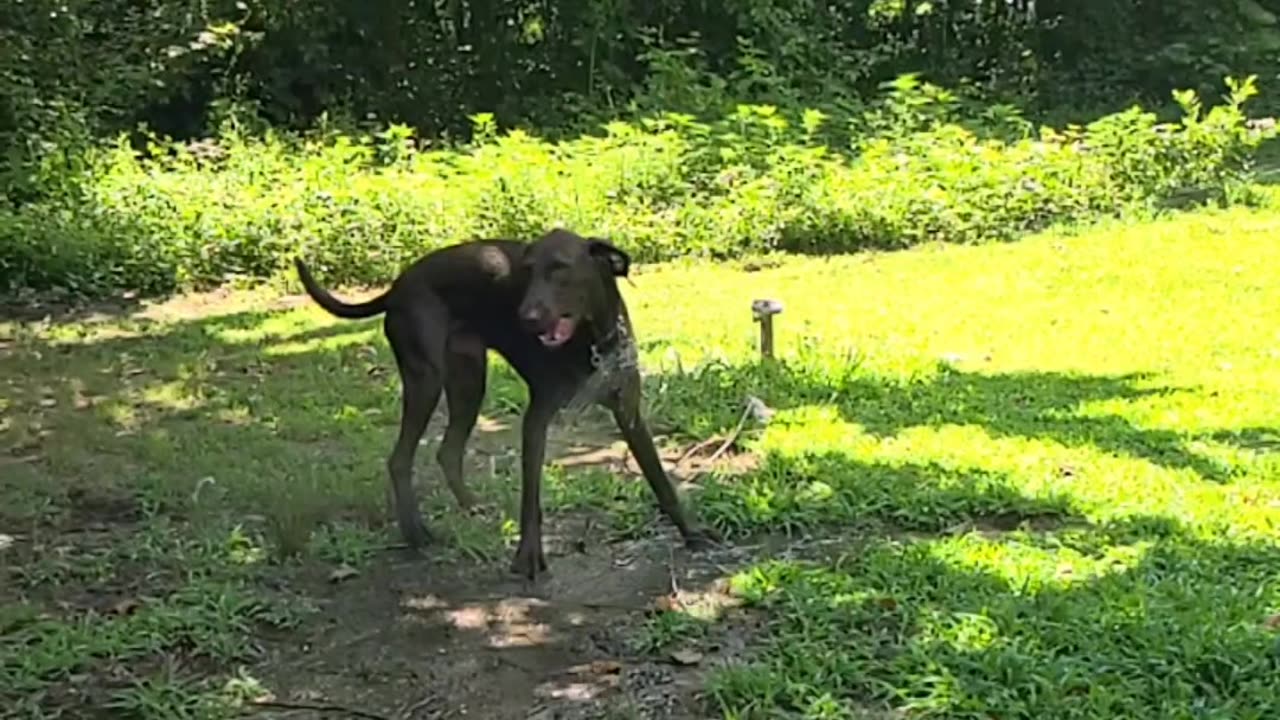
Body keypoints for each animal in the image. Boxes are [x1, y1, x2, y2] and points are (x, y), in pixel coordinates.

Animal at [294, 229, 721, 576]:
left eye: (560, 268)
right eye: (527, 272)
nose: (526, 317)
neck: (593, 340)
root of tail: (397, 287)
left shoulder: (629, 413)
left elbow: (661, 482)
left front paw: (692, 534)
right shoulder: (536, 420)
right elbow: (531, 499)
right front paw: (528, 556)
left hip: (468, 382)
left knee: (448, 451)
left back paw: (470, 507)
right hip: (425, 380)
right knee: (400, 459)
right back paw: (416, 533)